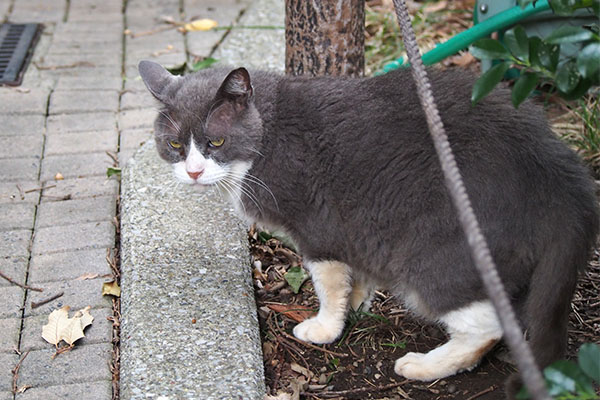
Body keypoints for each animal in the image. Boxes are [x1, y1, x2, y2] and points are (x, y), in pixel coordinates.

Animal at [138, 59, 596, 396]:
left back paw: (424, 365)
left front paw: (325, 327)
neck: (269, 131)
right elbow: (355, 272)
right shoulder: (359, 225)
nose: (194, 172)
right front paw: (357, 303)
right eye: (175, 144)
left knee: (486, 326)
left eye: (214, 142)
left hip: (437, 255)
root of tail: (564, 180)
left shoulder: (319, 228)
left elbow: (327, 282)